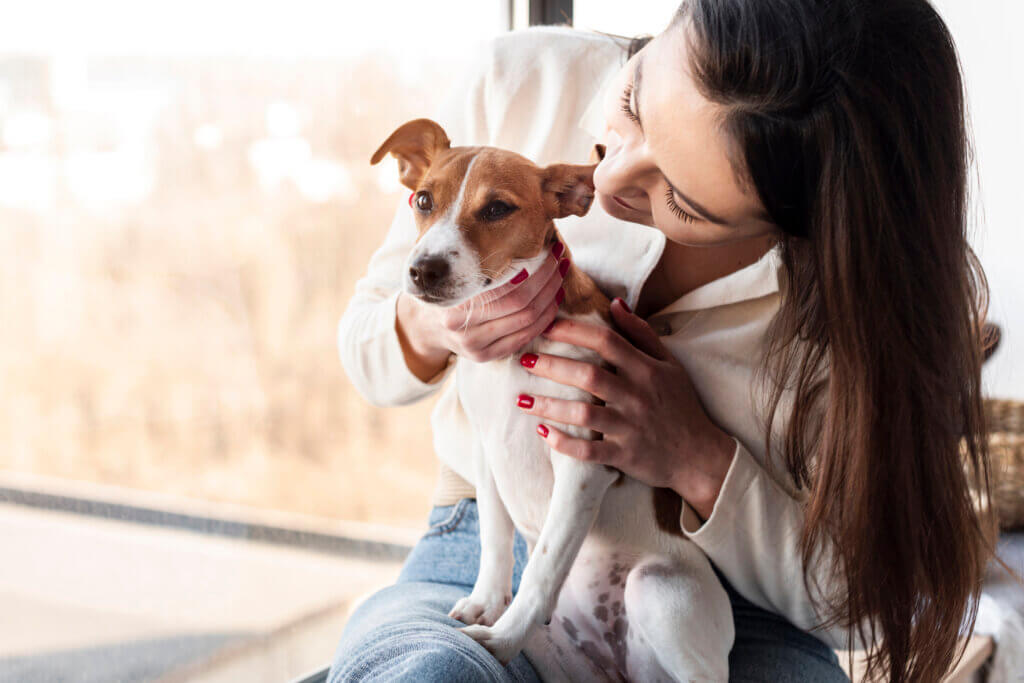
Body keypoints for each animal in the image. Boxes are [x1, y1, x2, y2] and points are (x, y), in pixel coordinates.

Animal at [372, 120, 733, 679]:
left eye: (497, 209)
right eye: (423, 199)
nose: (422, 270)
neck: (513, 359)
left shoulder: (582, 464)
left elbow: (543, 567)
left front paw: (501, 639)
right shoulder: (487, 455)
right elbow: (495, 540)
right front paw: (487, 604)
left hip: (659, 592)